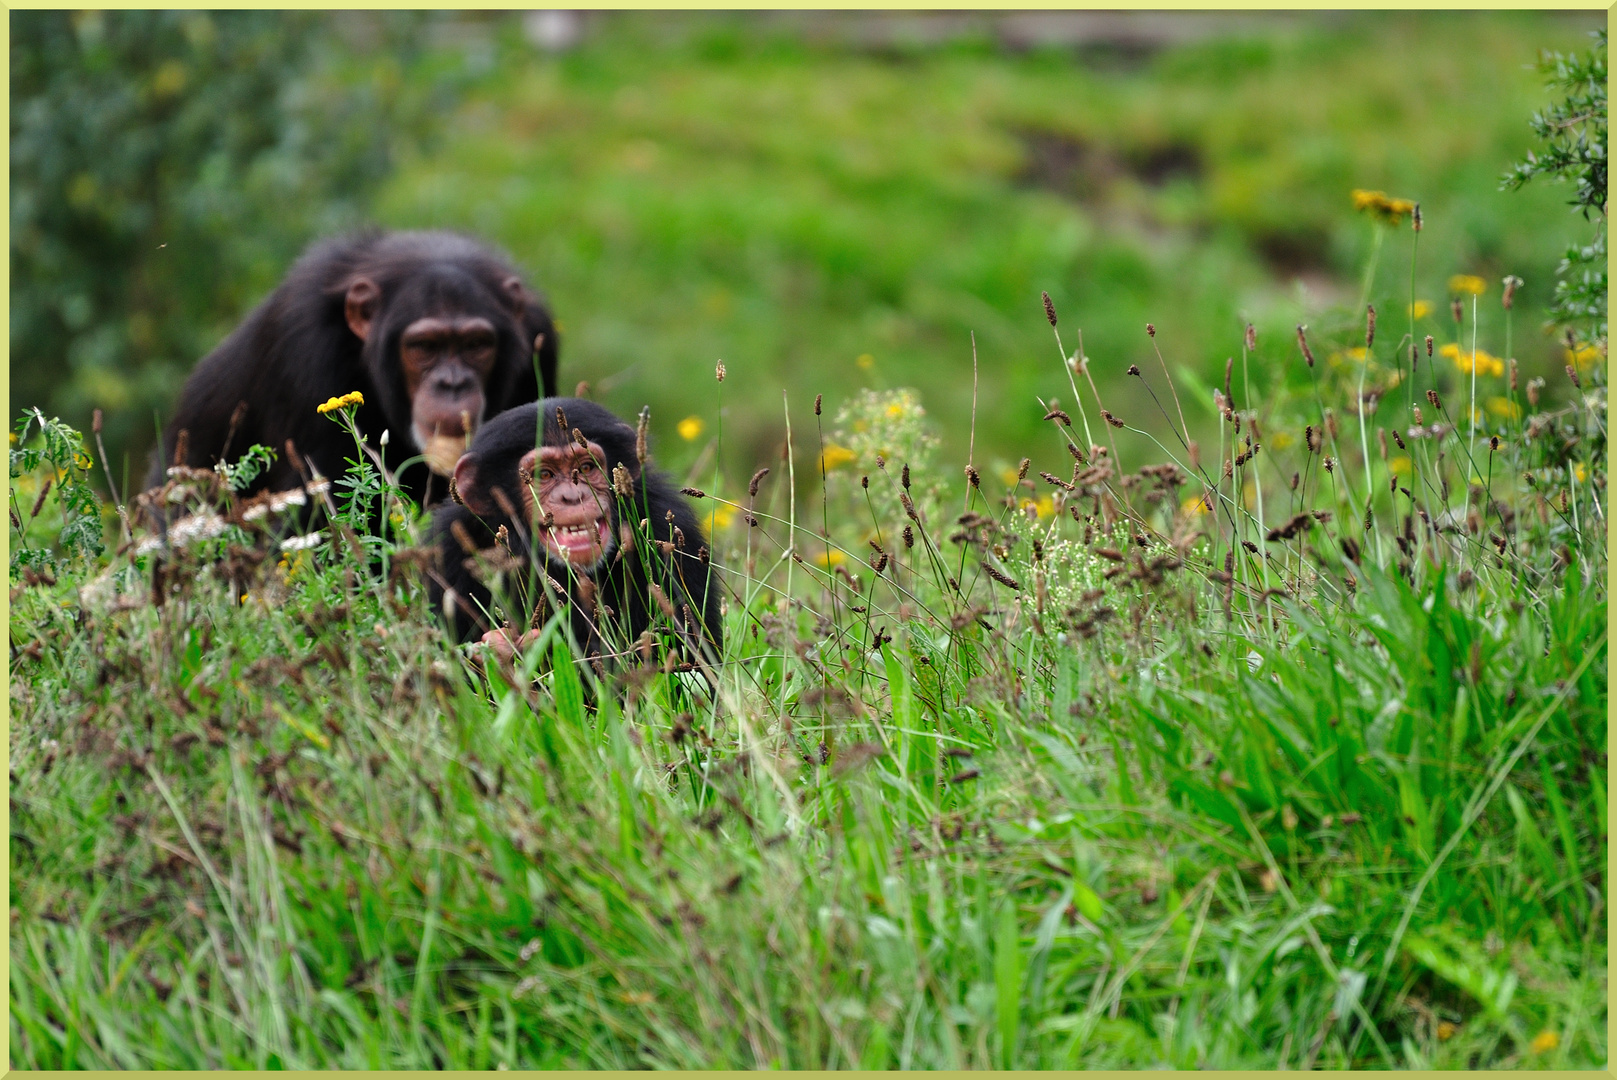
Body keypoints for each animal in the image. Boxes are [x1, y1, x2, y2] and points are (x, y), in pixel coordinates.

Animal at [436, 396, 727, 666]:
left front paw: (513, 652)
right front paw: (501, 652)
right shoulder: (451, 551)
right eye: (544, 475)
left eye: (586, 467)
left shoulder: (671, 536)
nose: (573, 496)